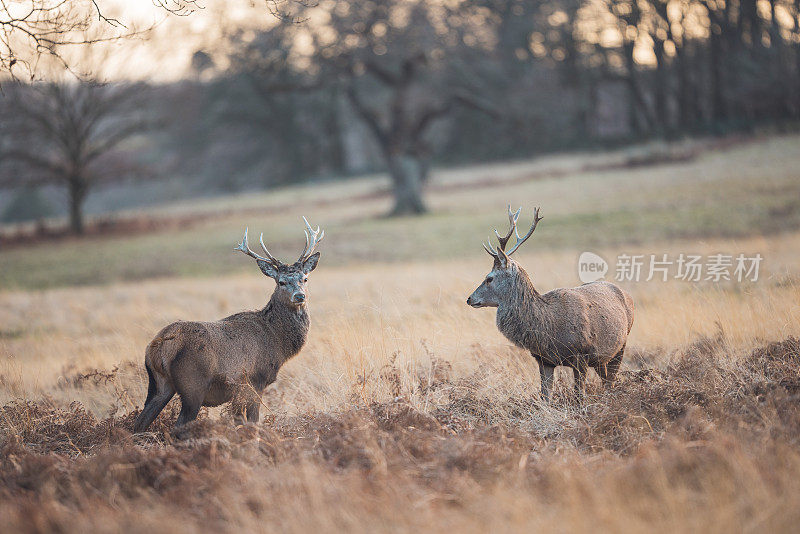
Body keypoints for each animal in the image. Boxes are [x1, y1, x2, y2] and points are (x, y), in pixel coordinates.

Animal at [133, 216, 324, 434]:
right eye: (281, 282)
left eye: (305, 278)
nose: (299, 296)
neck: (277, 341)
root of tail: (160, 344)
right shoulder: (254, 381)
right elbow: (252, 422)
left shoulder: (239, 390)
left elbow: (239, 421)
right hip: (193, 384)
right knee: (178, 426)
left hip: (158, 384)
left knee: (139, 424)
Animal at [466, 208, 636, 402]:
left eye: (489, 278)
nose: (469, 299)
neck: (548, 327)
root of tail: (627, 295)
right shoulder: (544, 360)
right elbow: (545, 396)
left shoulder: (582, 354)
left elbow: (579, 395)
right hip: (602, 357)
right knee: (606, 379)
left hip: (622, 344)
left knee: (611, 381)